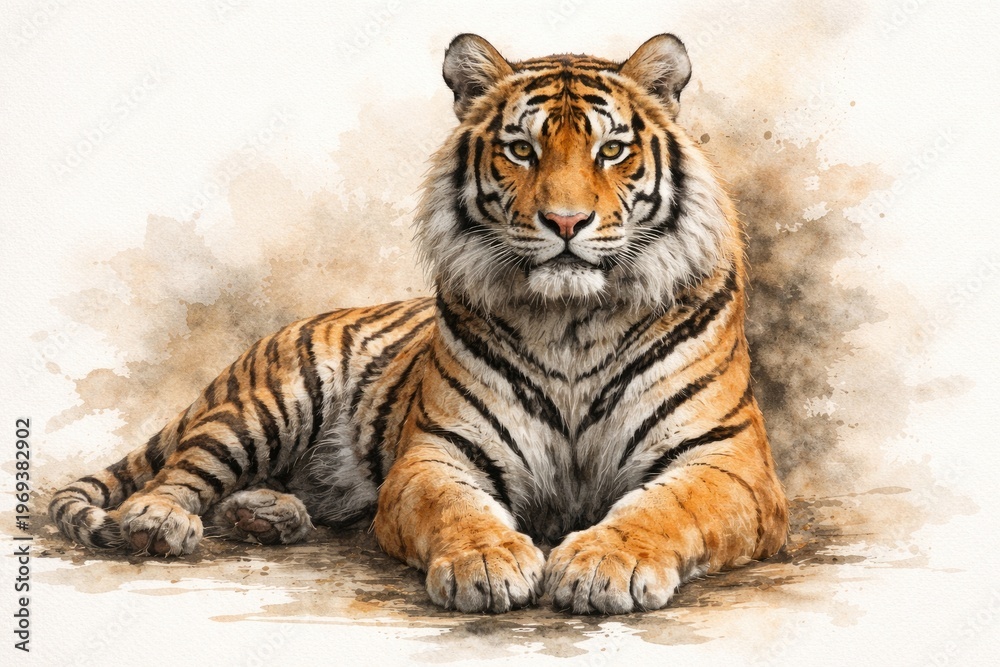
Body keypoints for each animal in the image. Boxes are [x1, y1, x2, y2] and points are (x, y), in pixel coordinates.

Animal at [49, 33, 788, 614]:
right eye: (521, 150)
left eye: (610, 151)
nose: (566, 222)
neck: (572, 322)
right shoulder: (438, 452)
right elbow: (455, 508)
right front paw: (486, 562)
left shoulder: (727, 460)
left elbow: (663, 506)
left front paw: (606, 564)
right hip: (268, 404)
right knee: (184, 469)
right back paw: (158, 521)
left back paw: (269, 516)